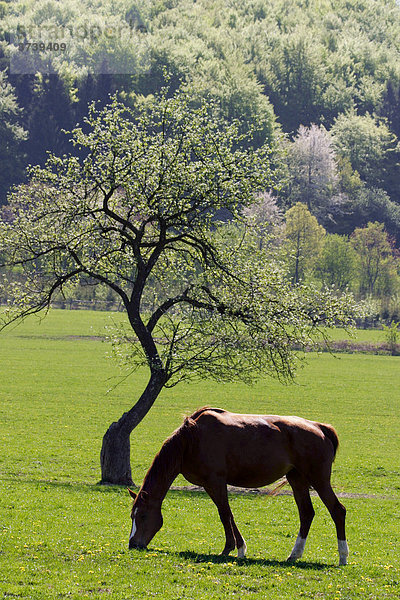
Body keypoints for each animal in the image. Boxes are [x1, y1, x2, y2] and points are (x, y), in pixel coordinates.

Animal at [127, 406, 346, 564]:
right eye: (132, 516)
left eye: (143, 515)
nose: (133, 544)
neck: (191, 440)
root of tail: (319, 427)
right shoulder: (210, 485)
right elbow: (228, 514)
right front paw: (238, 548)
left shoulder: (215, 481)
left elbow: (224, 514)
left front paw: (230, 549)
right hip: (297, 479)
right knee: (306, 513)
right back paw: (294, 554)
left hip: (318, 480)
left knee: (337, 510)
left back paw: (343, 556)